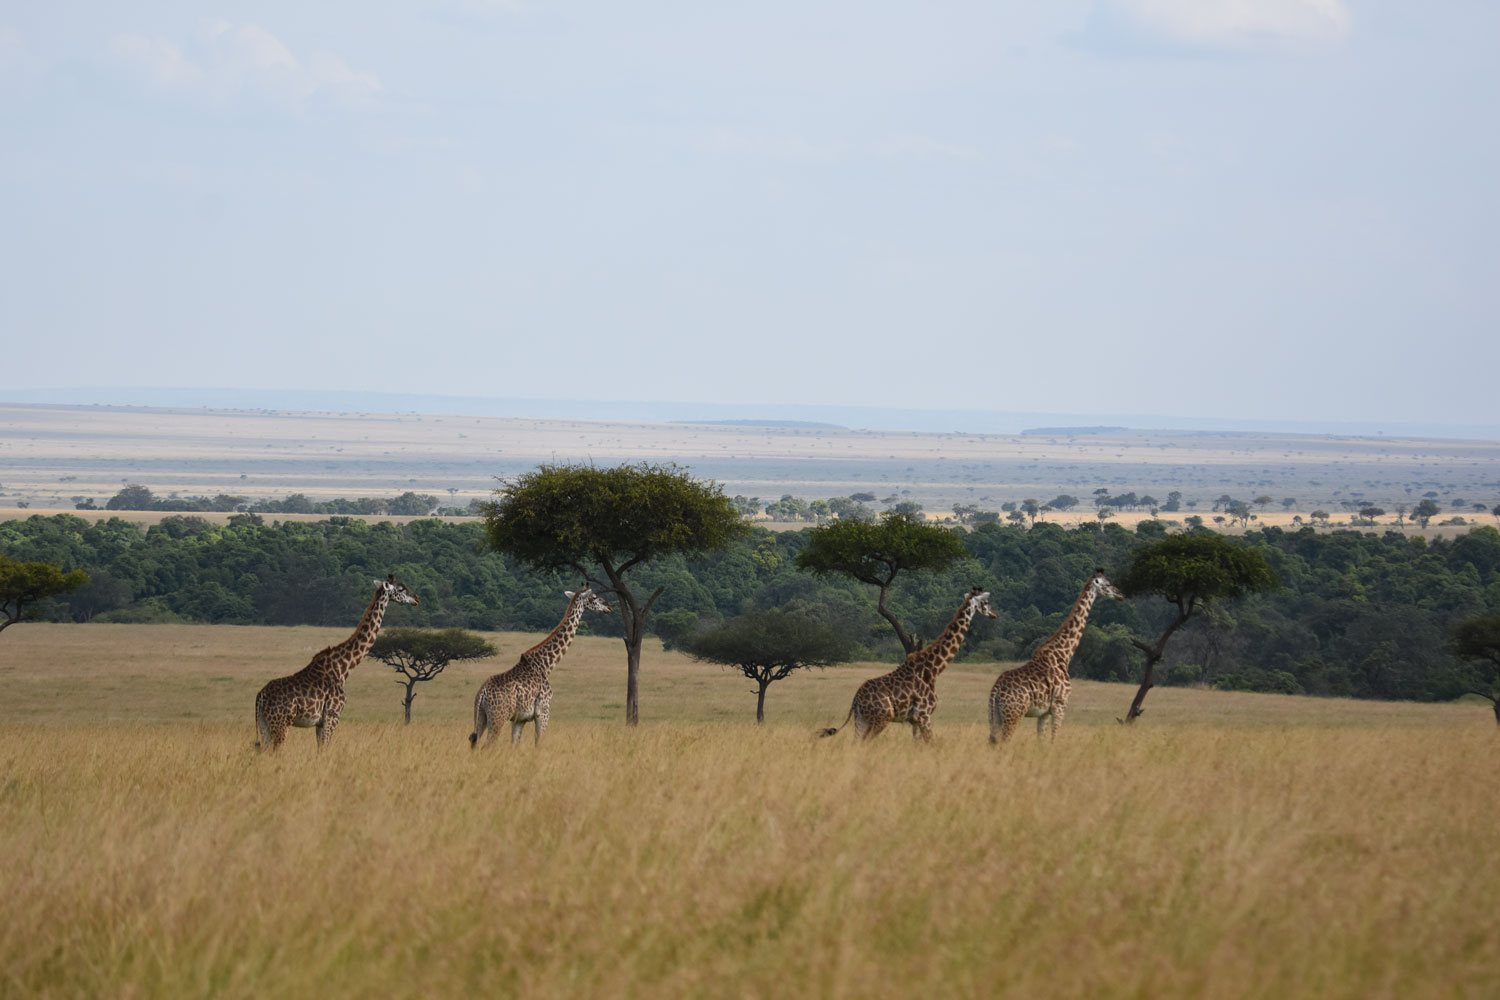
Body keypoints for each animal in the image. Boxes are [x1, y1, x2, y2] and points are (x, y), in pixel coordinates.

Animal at [252, 569, 417, 749]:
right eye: (400, 589)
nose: (416, 599)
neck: (343, 668)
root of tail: (260, 697)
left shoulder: (320, 722)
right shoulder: (332, 716)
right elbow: (324, 749)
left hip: (265, 725)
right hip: (281, 723)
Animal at [468, 590, 609, 746]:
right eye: (594, 597)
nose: (608, 606)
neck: (546, 665)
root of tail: (482, 692)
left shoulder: (519, 719)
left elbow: (514, 745)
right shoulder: (543, 711)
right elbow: (539, 742)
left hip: (482, 716)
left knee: (474, 742)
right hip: (498, 716)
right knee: (487, 745)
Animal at [822, 587, 996, 743]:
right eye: (986, 602)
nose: (994, 615)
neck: (933, 669)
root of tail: (856, 700)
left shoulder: (915, 720)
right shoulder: (924, 715)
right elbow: (931, 743)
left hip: (861, 720)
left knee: (856, 743)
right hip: (882, 718)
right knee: (865, 743)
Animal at [990, 569, 1122, 743]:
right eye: (1107, 583)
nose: (1120, 594)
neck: (1063, 655)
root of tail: (996, 689)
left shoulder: (1044, 712)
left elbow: (1041, 741)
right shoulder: (1060, 705)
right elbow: (1054, 739)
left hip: (997, 715)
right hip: (1014, 714)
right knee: (1005, 742)